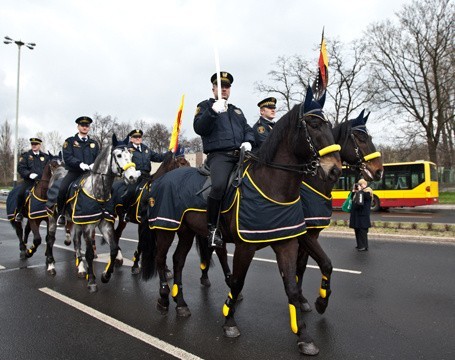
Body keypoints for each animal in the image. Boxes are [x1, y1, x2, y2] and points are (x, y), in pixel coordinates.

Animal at [141, 86, 344, 354]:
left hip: (186, 231)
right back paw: (164, 300)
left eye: (329, 125)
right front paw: (229, 319)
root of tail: (160, 179)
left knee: (178, 261)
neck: (273, 185)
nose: (334, 170)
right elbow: (237, 281)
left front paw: (304, 335)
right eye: (312, 124)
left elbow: (292, 285)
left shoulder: (287, 242)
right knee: (161, 259)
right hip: (166, 228)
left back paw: (181, 303)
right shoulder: (246, 246)